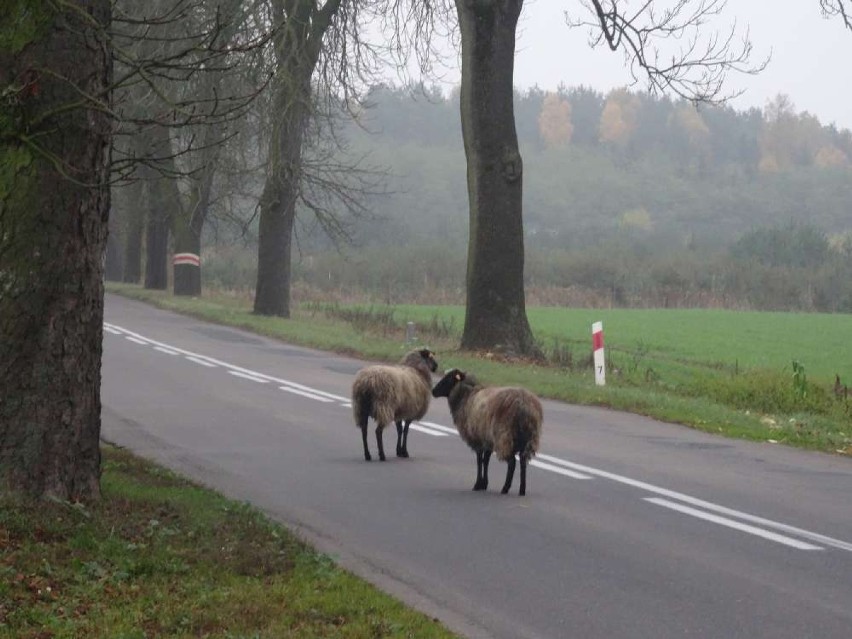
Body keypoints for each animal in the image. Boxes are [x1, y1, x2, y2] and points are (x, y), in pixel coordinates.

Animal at [432, 368, 544, 498]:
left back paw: (505, 488)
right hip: (528, 439)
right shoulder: (487, 439)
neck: (466, 396)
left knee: (512, 463)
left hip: (504, 437)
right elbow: (486, 460)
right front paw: (484, 484)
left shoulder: (477, 439)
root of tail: (524, 404)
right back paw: (522, 490)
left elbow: (479, 460)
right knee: (523, 462)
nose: (433, 391)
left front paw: (477, 485)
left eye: (448, 378)